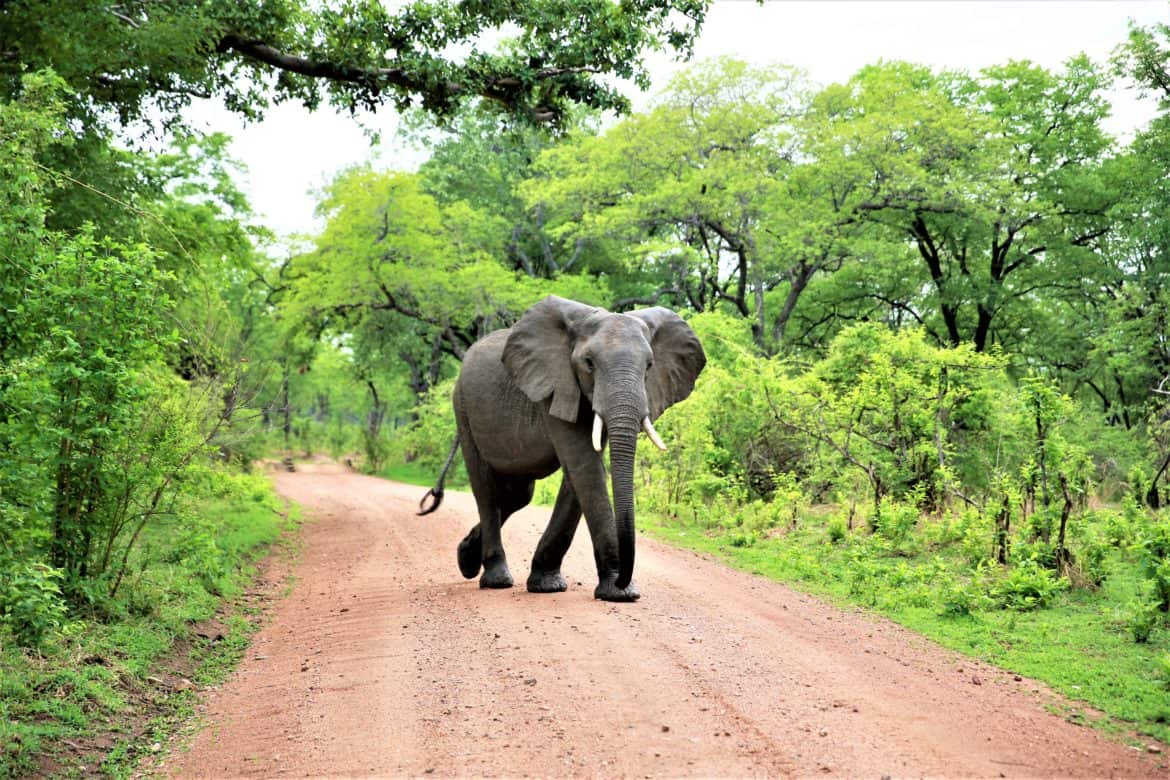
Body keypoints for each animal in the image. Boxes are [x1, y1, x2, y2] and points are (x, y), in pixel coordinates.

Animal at [418, 295, 705, 602]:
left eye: (650, 366)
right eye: (589, 363)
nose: (624, 583)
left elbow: (578, 475)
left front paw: (547, 585)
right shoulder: (556, 385)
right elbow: (585, 466)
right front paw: (618, 593)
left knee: (517, 495)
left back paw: (466, 559)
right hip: (463, 408)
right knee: (486, 488)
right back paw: (496, 579)